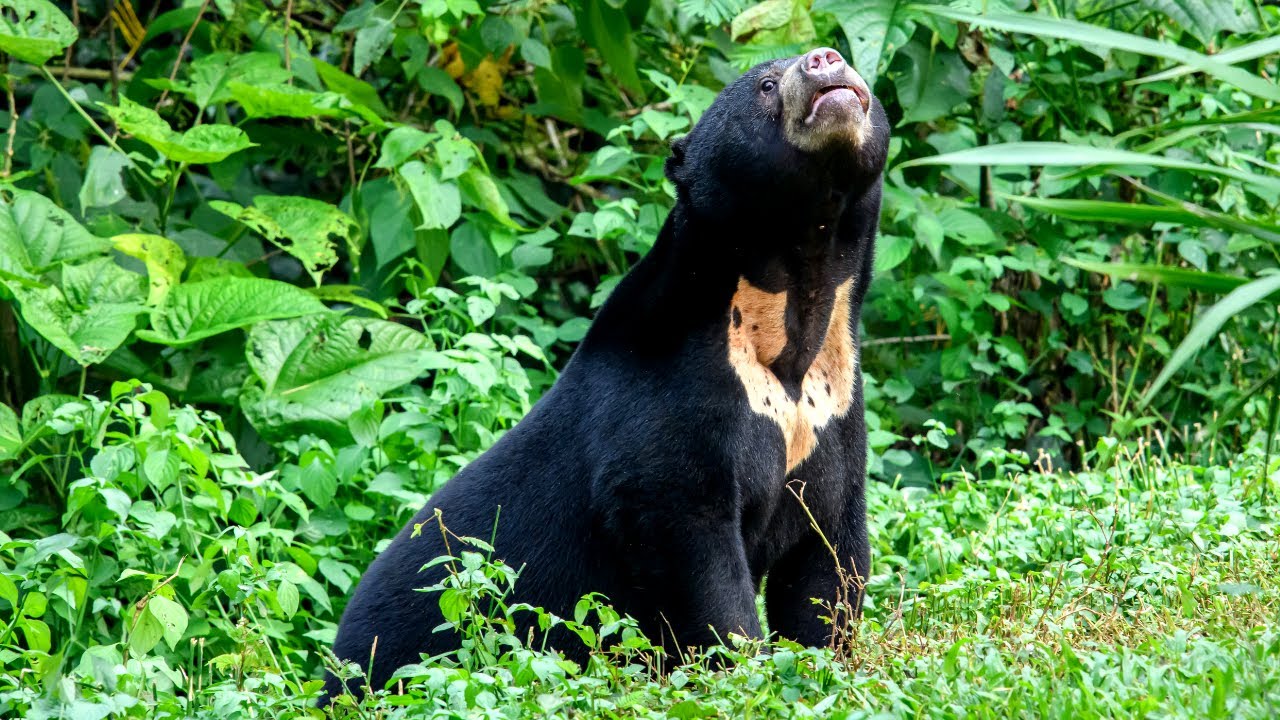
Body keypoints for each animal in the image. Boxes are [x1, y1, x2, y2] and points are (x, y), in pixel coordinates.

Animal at [324, 45, 890, 700]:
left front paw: (828, 668)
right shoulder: (669, 410)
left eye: (837, 57)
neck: (788, 320)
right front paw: (747, 676)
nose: (826, 58)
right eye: (767, 85)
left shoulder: (834, 416)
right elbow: (694, 553)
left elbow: (830, 562)